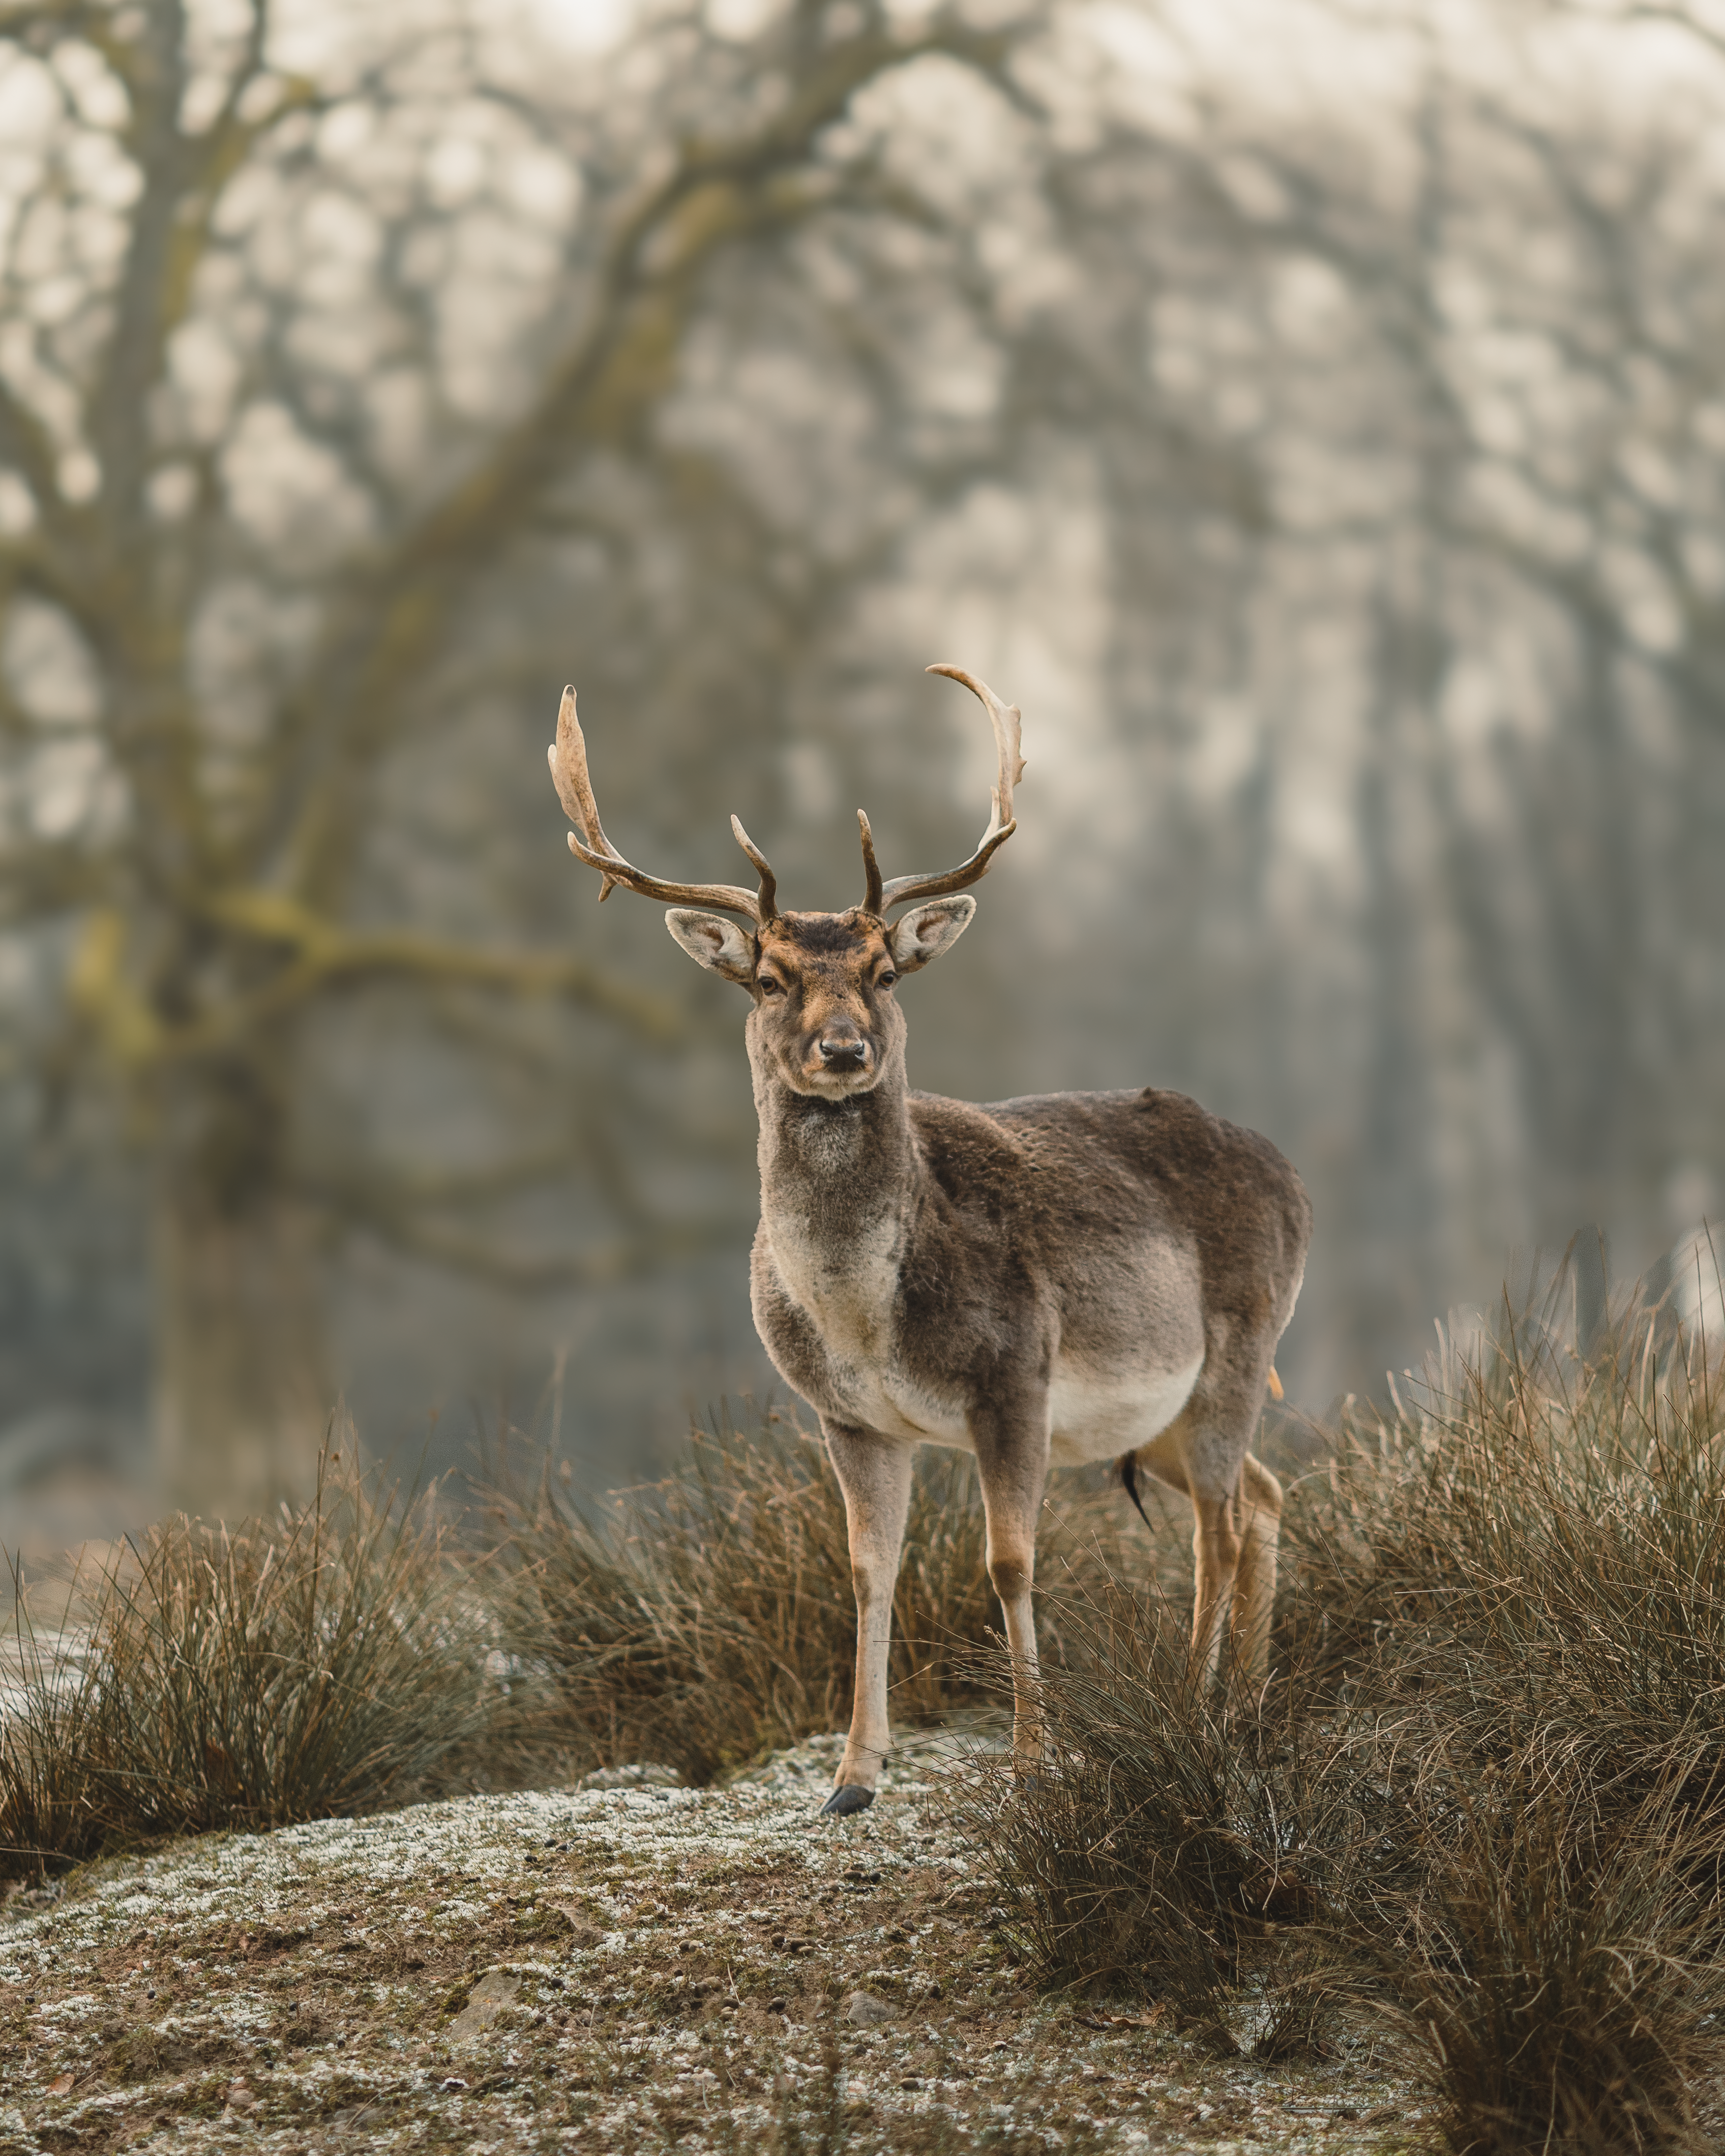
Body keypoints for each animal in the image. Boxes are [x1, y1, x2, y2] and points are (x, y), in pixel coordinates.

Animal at [548, 666, 1311, 1815]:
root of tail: (1294, 1178)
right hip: (1162, 1420)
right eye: (769, 977)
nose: (843, 1049)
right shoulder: (849, 1416)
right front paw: (851, 1777)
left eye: (886, 971)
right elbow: (869, 1569)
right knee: (1261, 1499)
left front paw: (1032, 1762)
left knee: (1218, 1528)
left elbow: (1009, 1563)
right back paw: (1250, 1709)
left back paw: (1197, 1711)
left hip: (1236, 1351)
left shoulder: (1016, 1376)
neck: (862, 1319)